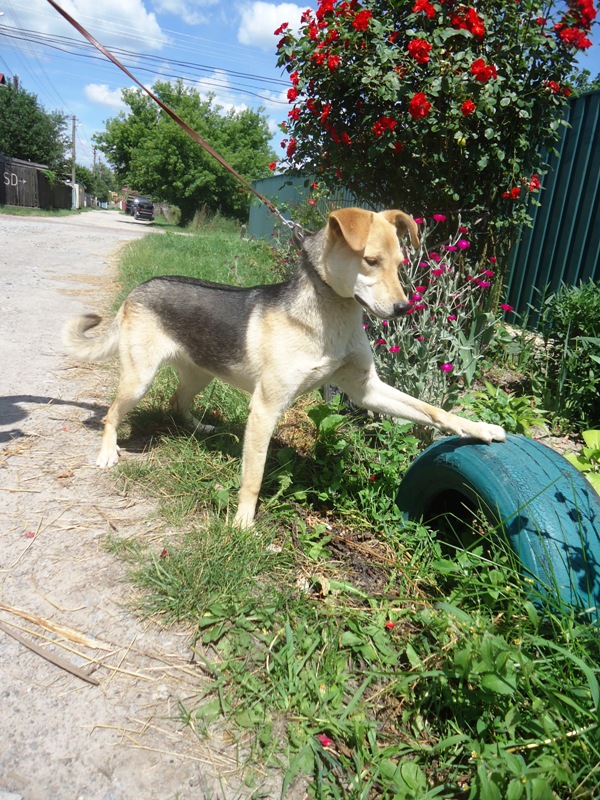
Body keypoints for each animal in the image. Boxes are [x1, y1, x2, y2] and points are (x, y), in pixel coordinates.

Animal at [63, 209, 506, 528]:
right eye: (370, 261)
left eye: (400, 264)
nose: (403, 308)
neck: (331, 315)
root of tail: (137, 289)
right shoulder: (264, 409)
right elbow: (253, 477)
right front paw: (242, 525)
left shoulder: (365, 389)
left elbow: (433, 411)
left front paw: (478, 428)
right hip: (139, 379)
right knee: (111, 414)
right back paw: (108, 451)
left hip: (201, 372)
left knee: (176, 400)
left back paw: (197, 427)